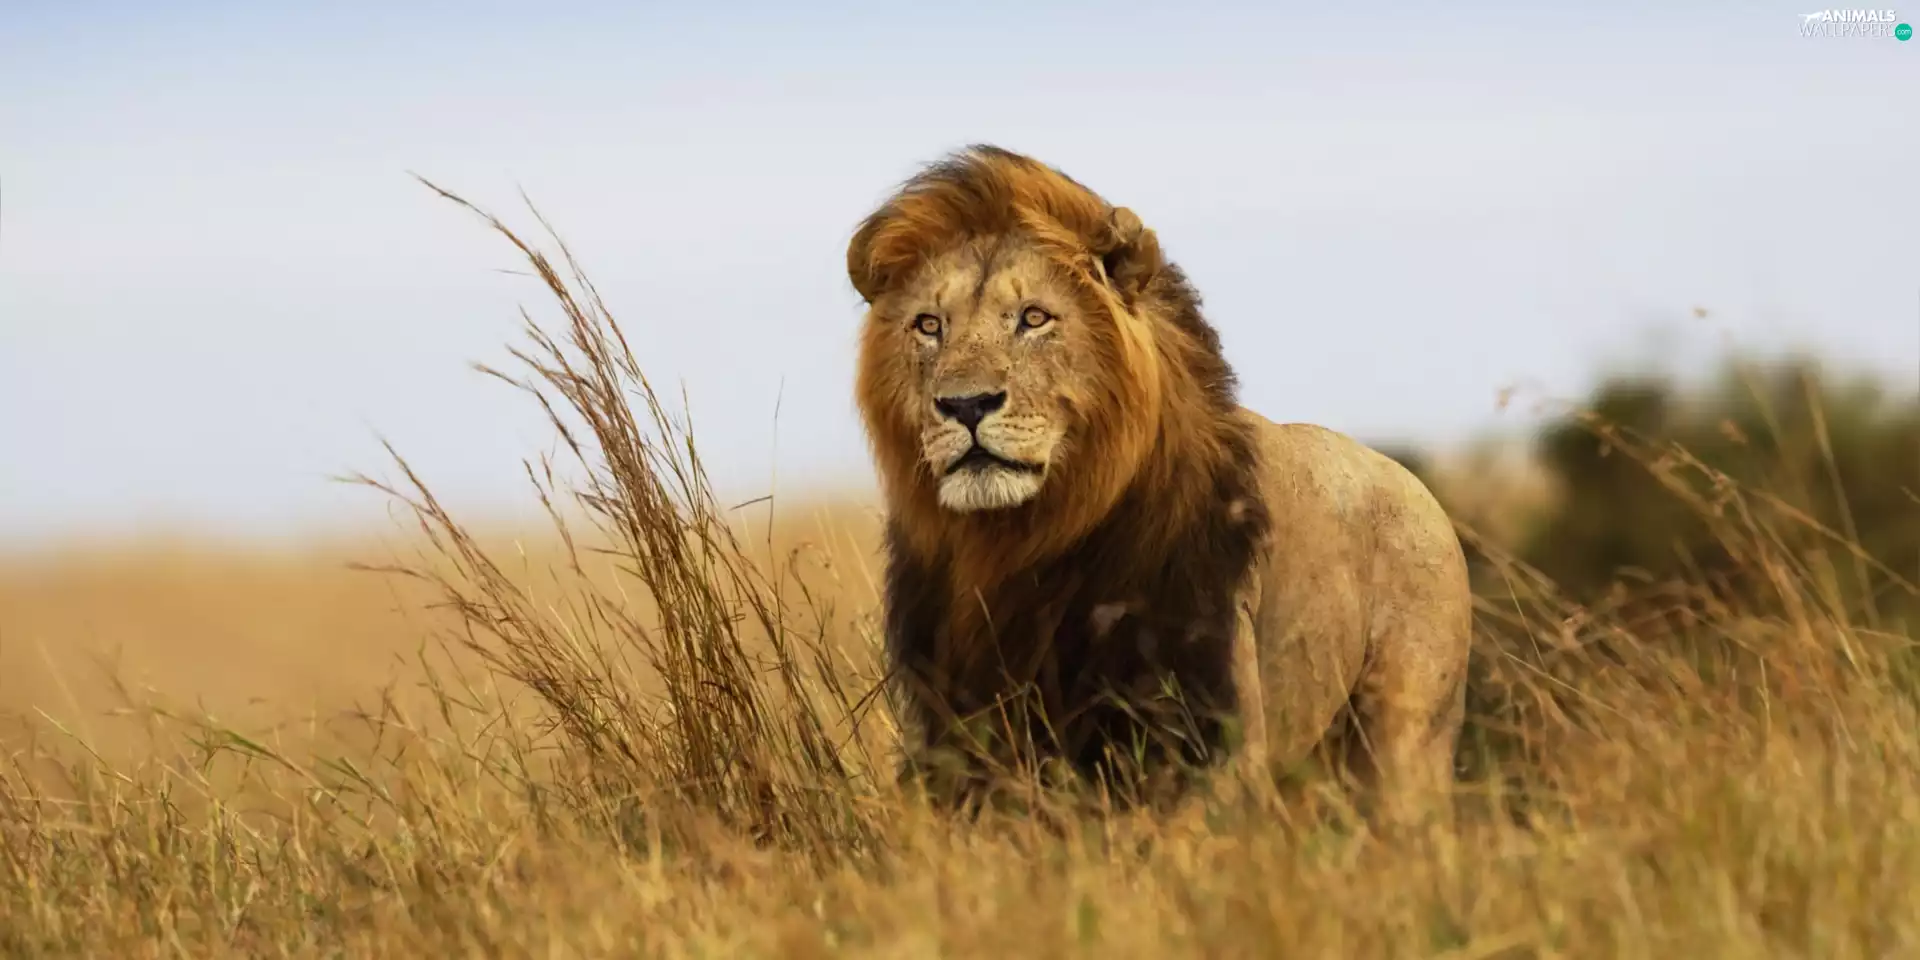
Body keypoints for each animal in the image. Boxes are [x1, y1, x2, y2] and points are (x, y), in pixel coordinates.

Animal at [845, 144, 1473, 828]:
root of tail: (1418, 489)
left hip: (1404, 741)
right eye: (929, 325)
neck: (1017, 546)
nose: (965, 405)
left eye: (1034, 318)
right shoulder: (956, 730)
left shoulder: (1209, 730)